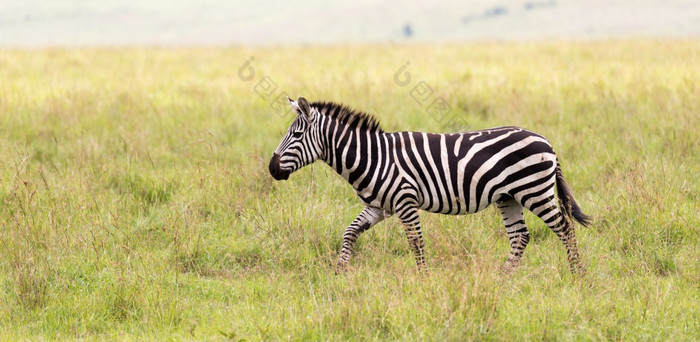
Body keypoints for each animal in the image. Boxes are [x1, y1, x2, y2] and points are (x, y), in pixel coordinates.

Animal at [268, 97, 592, 274]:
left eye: (296, 135)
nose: (272, 169)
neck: (373, 157)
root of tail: (546, 141)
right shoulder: (378, 207)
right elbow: (349, 233)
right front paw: (340, 271)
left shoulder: (405, 201)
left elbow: (416, 242)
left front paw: (425, 279)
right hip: (508, 197)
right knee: (520, 236)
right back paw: (503, 277)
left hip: (533, 190)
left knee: (564, 228)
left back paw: (577, 275)